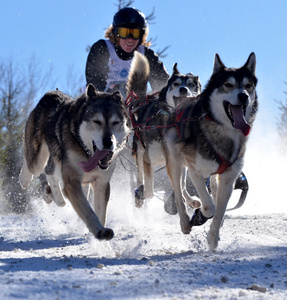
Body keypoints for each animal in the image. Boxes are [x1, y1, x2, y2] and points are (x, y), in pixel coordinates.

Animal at [18, 85, 129, 241]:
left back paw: (52, 194)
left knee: (51, 177)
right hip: (38, 159)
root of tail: (52, 93)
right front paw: (99, 231)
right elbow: (88, 211)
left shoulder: (101, 183)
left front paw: (100, 232)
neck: (87, 153)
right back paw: (25, 180)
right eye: (97, 121)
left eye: (115, 123)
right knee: (32, 164)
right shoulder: (72, 181)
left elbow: (100, 213)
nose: (108, 142)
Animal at [126, 51, 202, 207]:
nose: (183, 89)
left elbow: (180, 185)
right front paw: (141, 194)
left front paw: (184, 199)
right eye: (176, 84)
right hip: (140, 151)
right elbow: (149, 192)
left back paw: (189, 199)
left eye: (191, 85)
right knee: (139, 176)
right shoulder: (148, 160)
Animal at [164, 52, 258, 251]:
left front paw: (213, 240)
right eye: (228, 85)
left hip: (213, 177)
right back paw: (185, 221)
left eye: (248, 86)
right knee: (178, 191)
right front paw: (199, 216)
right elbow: (210, 207)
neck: (223, 131)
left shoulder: (228, 178)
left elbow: (220, 211)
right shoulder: (195, 171)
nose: (244, 96)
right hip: (175, 163)